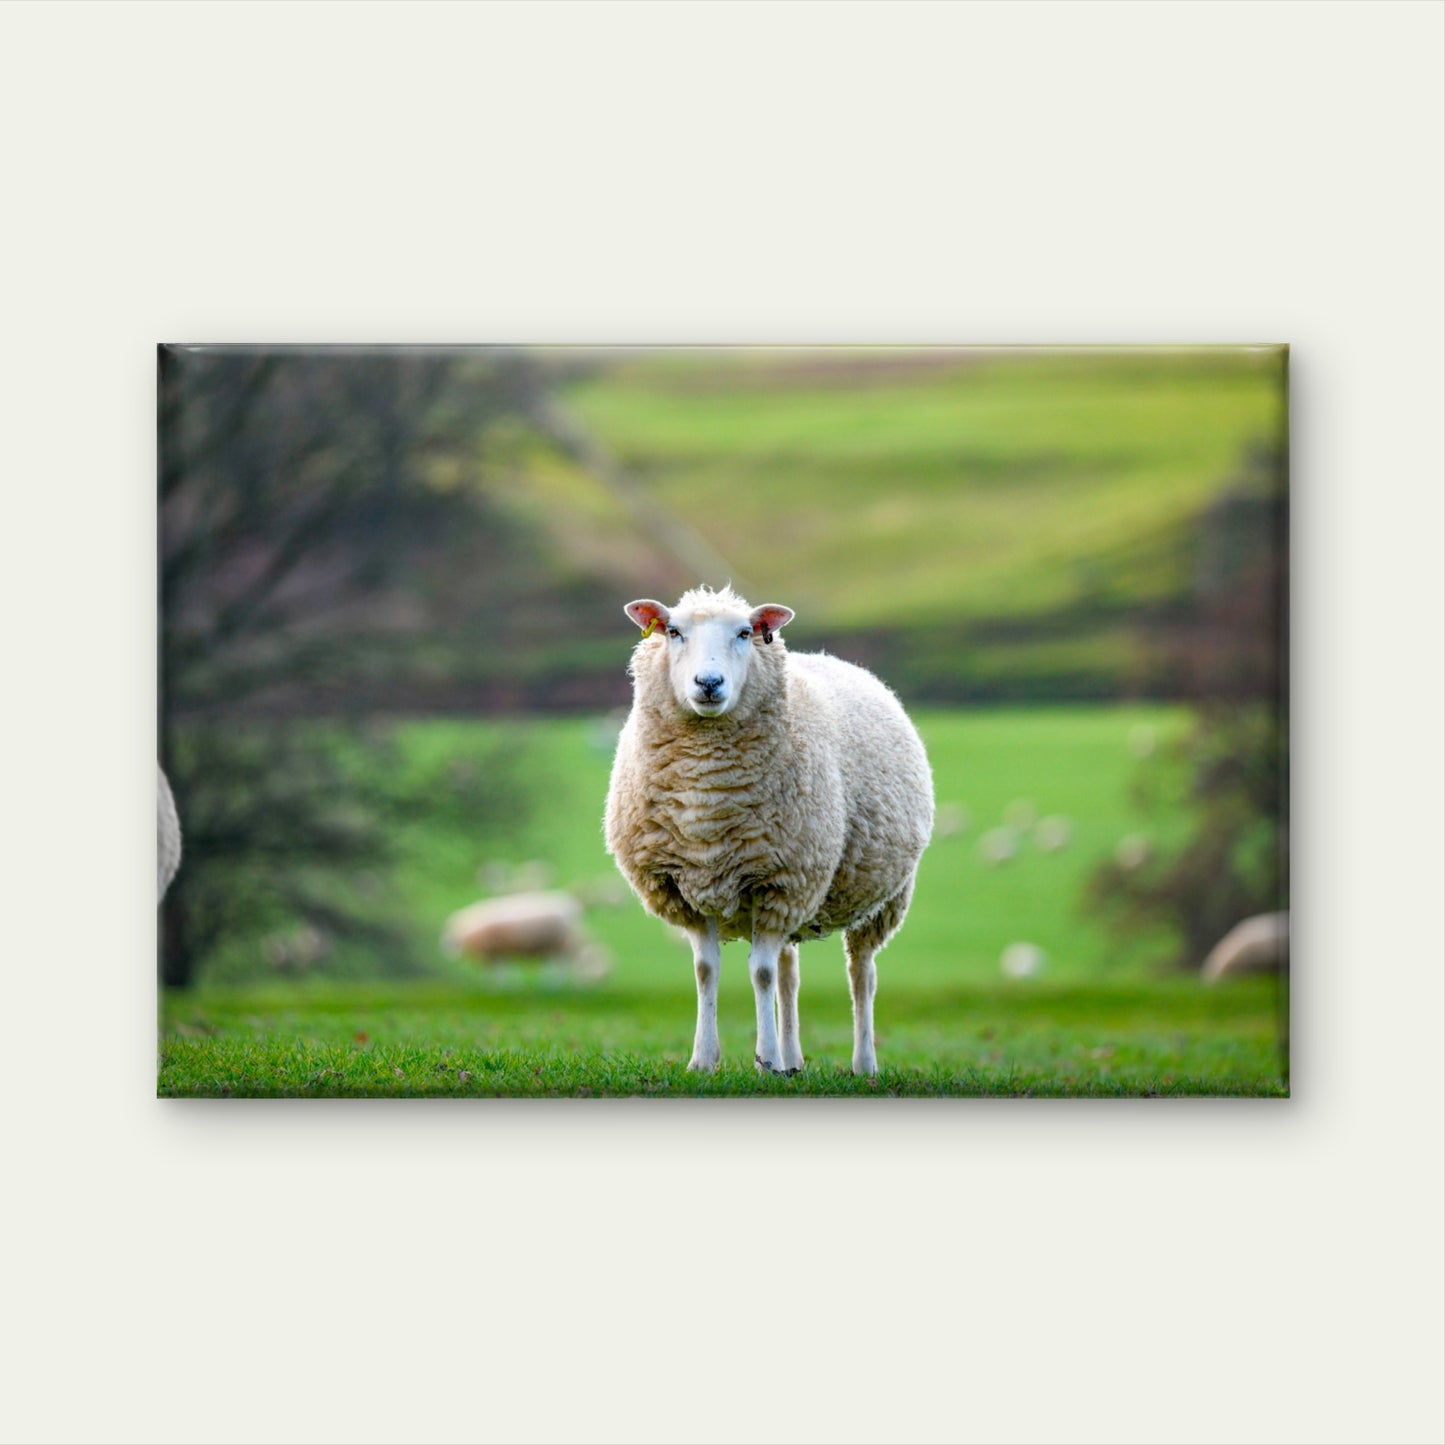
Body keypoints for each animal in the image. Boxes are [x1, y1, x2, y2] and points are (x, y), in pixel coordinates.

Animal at [604, 584, 934, 1075]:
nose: (708, 683)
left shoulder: (781, 882)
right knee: (789, 974)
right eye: (674, 631)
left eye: (745, 633)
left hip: (883, 899)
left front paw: (765, 1060)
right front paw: (704, 1059)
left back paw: (862, 1062)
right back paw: (794, 1059)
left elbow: (759, 973)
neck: (708, 799)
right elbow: (707, 970)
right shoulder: (686, 888)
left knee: (861, 974)